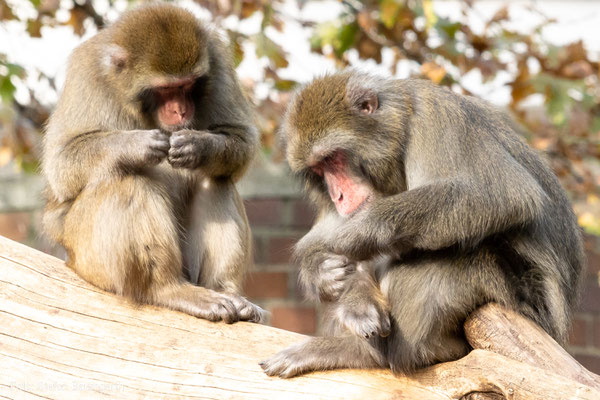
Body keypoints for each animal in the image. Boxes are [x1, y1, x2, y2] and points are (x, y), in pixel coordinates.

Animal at [42, 3, 264, 324]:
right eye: (165, 89)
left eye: (188, 85)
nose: (181, 110)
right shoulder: (86, 75)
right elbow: (62, 164)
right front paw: (136, 146)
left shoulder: (219, 63)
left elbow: (241, 139)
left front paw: (199, 146)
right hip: (88, 258)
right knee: (128, 180)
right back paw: (167, 289)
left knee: (215, 180)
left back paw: (224, 290)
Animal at [260, 71, 584, 378]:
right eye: (318, 170)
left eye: (333, 158)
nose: (337, 195)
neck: (402, 128)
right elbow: (318, 245)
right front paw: (327, 273)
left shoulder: (437, 119)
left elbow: (502, 194)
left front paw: (356, 234)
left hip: (520, 301)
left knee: (447, 258)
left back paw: (372, 353)